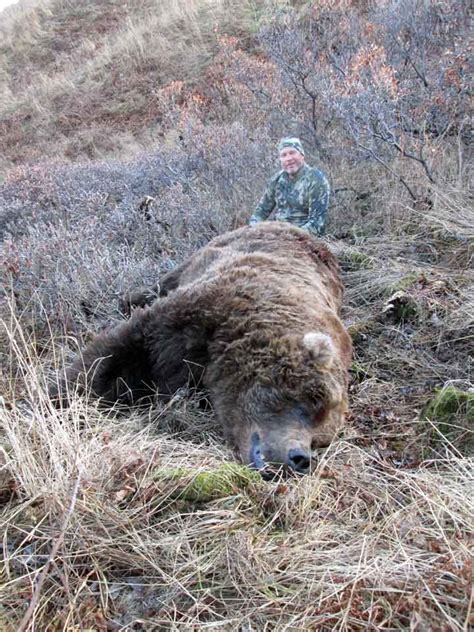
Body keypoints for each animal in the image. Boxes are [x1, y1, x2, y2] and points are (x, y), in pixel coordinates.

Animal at [55, 222, 352, 474]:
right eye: (309, 402)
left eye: (320, 438)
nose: (301, 459)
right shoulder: (189, 317)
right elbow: (113, 355)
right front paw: (59, 401)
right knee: (163, 282)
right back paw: (129, 299)